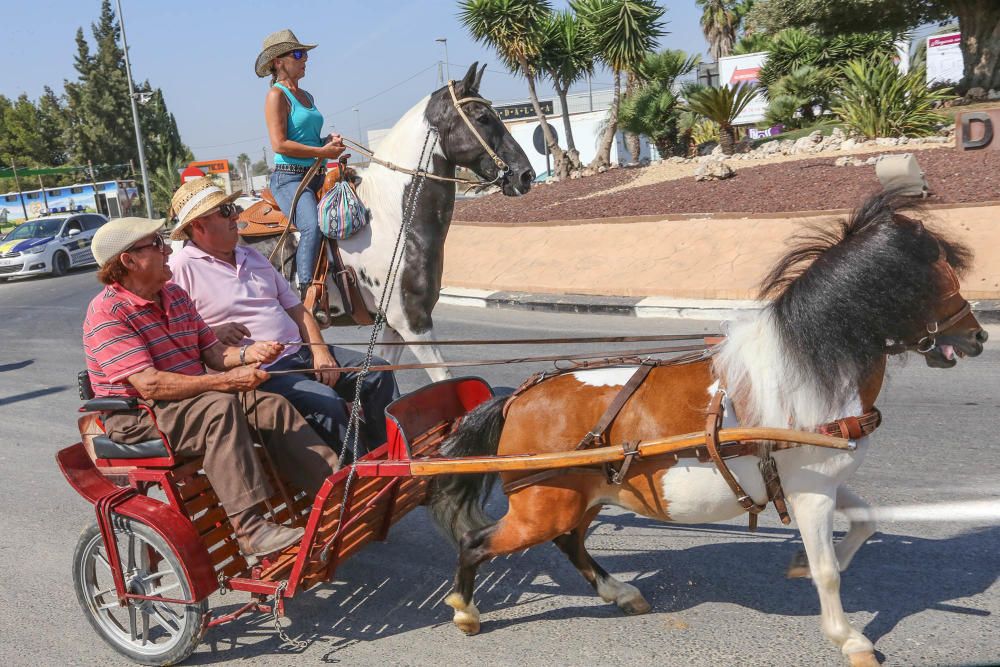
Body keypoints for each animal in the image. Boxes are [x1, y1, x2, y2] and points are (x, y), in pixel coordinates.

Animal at [246, 66, 536, 380]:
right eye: (483, 118)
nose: (526, 175)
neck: (393, 216)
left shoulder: (391, 325)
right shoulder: (412, 321)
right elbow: (444, 377)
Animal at [426, 194, 988, 667]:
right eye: (939, 279)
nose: (978, 336)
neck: (806, 369)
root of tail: (516, 399)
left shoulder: (820, 478)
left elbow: (866, 522)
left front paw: (801, 567)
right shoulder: (811, 491)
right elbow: (829, 570)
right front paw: (848, 637)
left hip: (582, 497)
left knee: (569, 543)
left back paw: (621, 593)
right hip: (543, 508)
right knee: (478, 542)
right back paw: (465, 611)